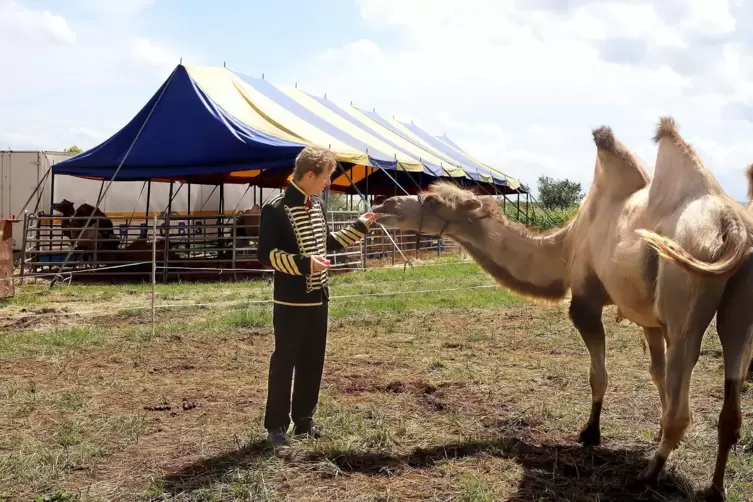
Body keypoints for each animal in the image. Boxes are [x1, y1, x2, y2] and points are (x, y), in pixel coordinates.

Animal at [374, 116, 752, 498]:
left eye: (432, 200)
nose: (382, 206)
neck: (566, 245)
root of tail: (733, 225)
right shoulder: (649, 317)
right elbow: (656, 375)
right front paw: (654, 432)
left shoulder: (585, 301)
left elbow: (598, 375)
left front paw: (590, 433)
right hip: (734, 306)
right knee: (730, 388)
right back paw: (714, 488)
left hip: (684, 293)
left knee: (684, 395)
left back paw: (646, 475)